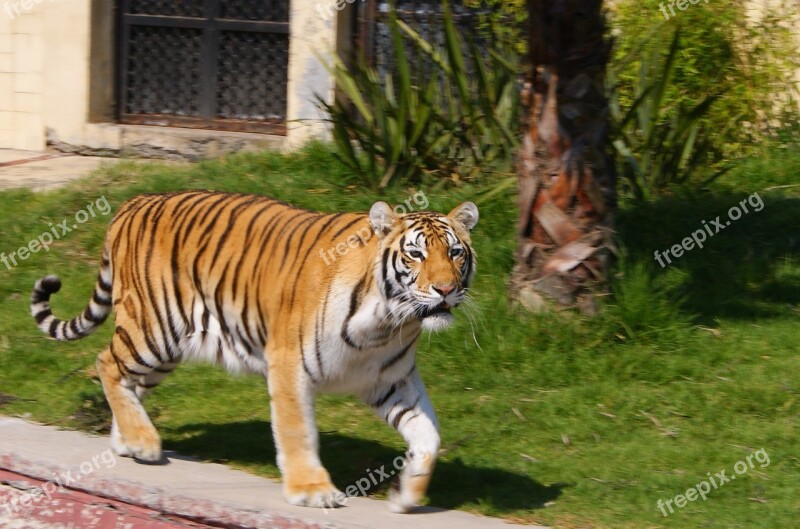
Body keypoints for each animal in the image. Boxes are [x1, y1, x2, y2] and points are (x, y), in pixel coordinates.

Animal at [29, 191, 482, 512]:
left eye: (455, 252)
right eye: (415, 254)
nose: (445, 289)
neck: (387, 323)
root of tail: (132, 202)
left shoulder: (392, 380)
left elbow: (428, 437)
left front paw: (407, 497)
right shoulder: (289, 366)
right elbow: (298, 432)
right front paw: (312, 491)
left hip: (165, 350)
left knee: (129, 383)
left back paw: (129, 441)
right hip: (152, 329)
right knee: (106, 363)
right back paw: (142, 441)